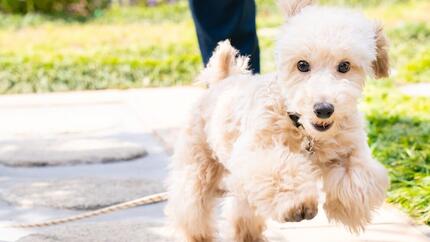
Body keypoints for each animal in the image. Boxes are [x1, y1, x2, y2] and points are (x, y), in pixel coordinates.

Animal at [165, 0, 390, 241]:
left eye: (345, 66)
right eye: (302, 65)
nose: (323, 109)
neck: (304, 131)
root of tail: (223, 80)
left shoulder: (349, 149)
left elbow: (358, 177)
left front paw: (346, 208)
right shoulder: (257, 152)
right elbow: (279, 170)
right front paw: (299, 204)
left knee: (242, 210)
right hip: (198, 166)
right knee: (191, 204)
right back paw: (198, 233)